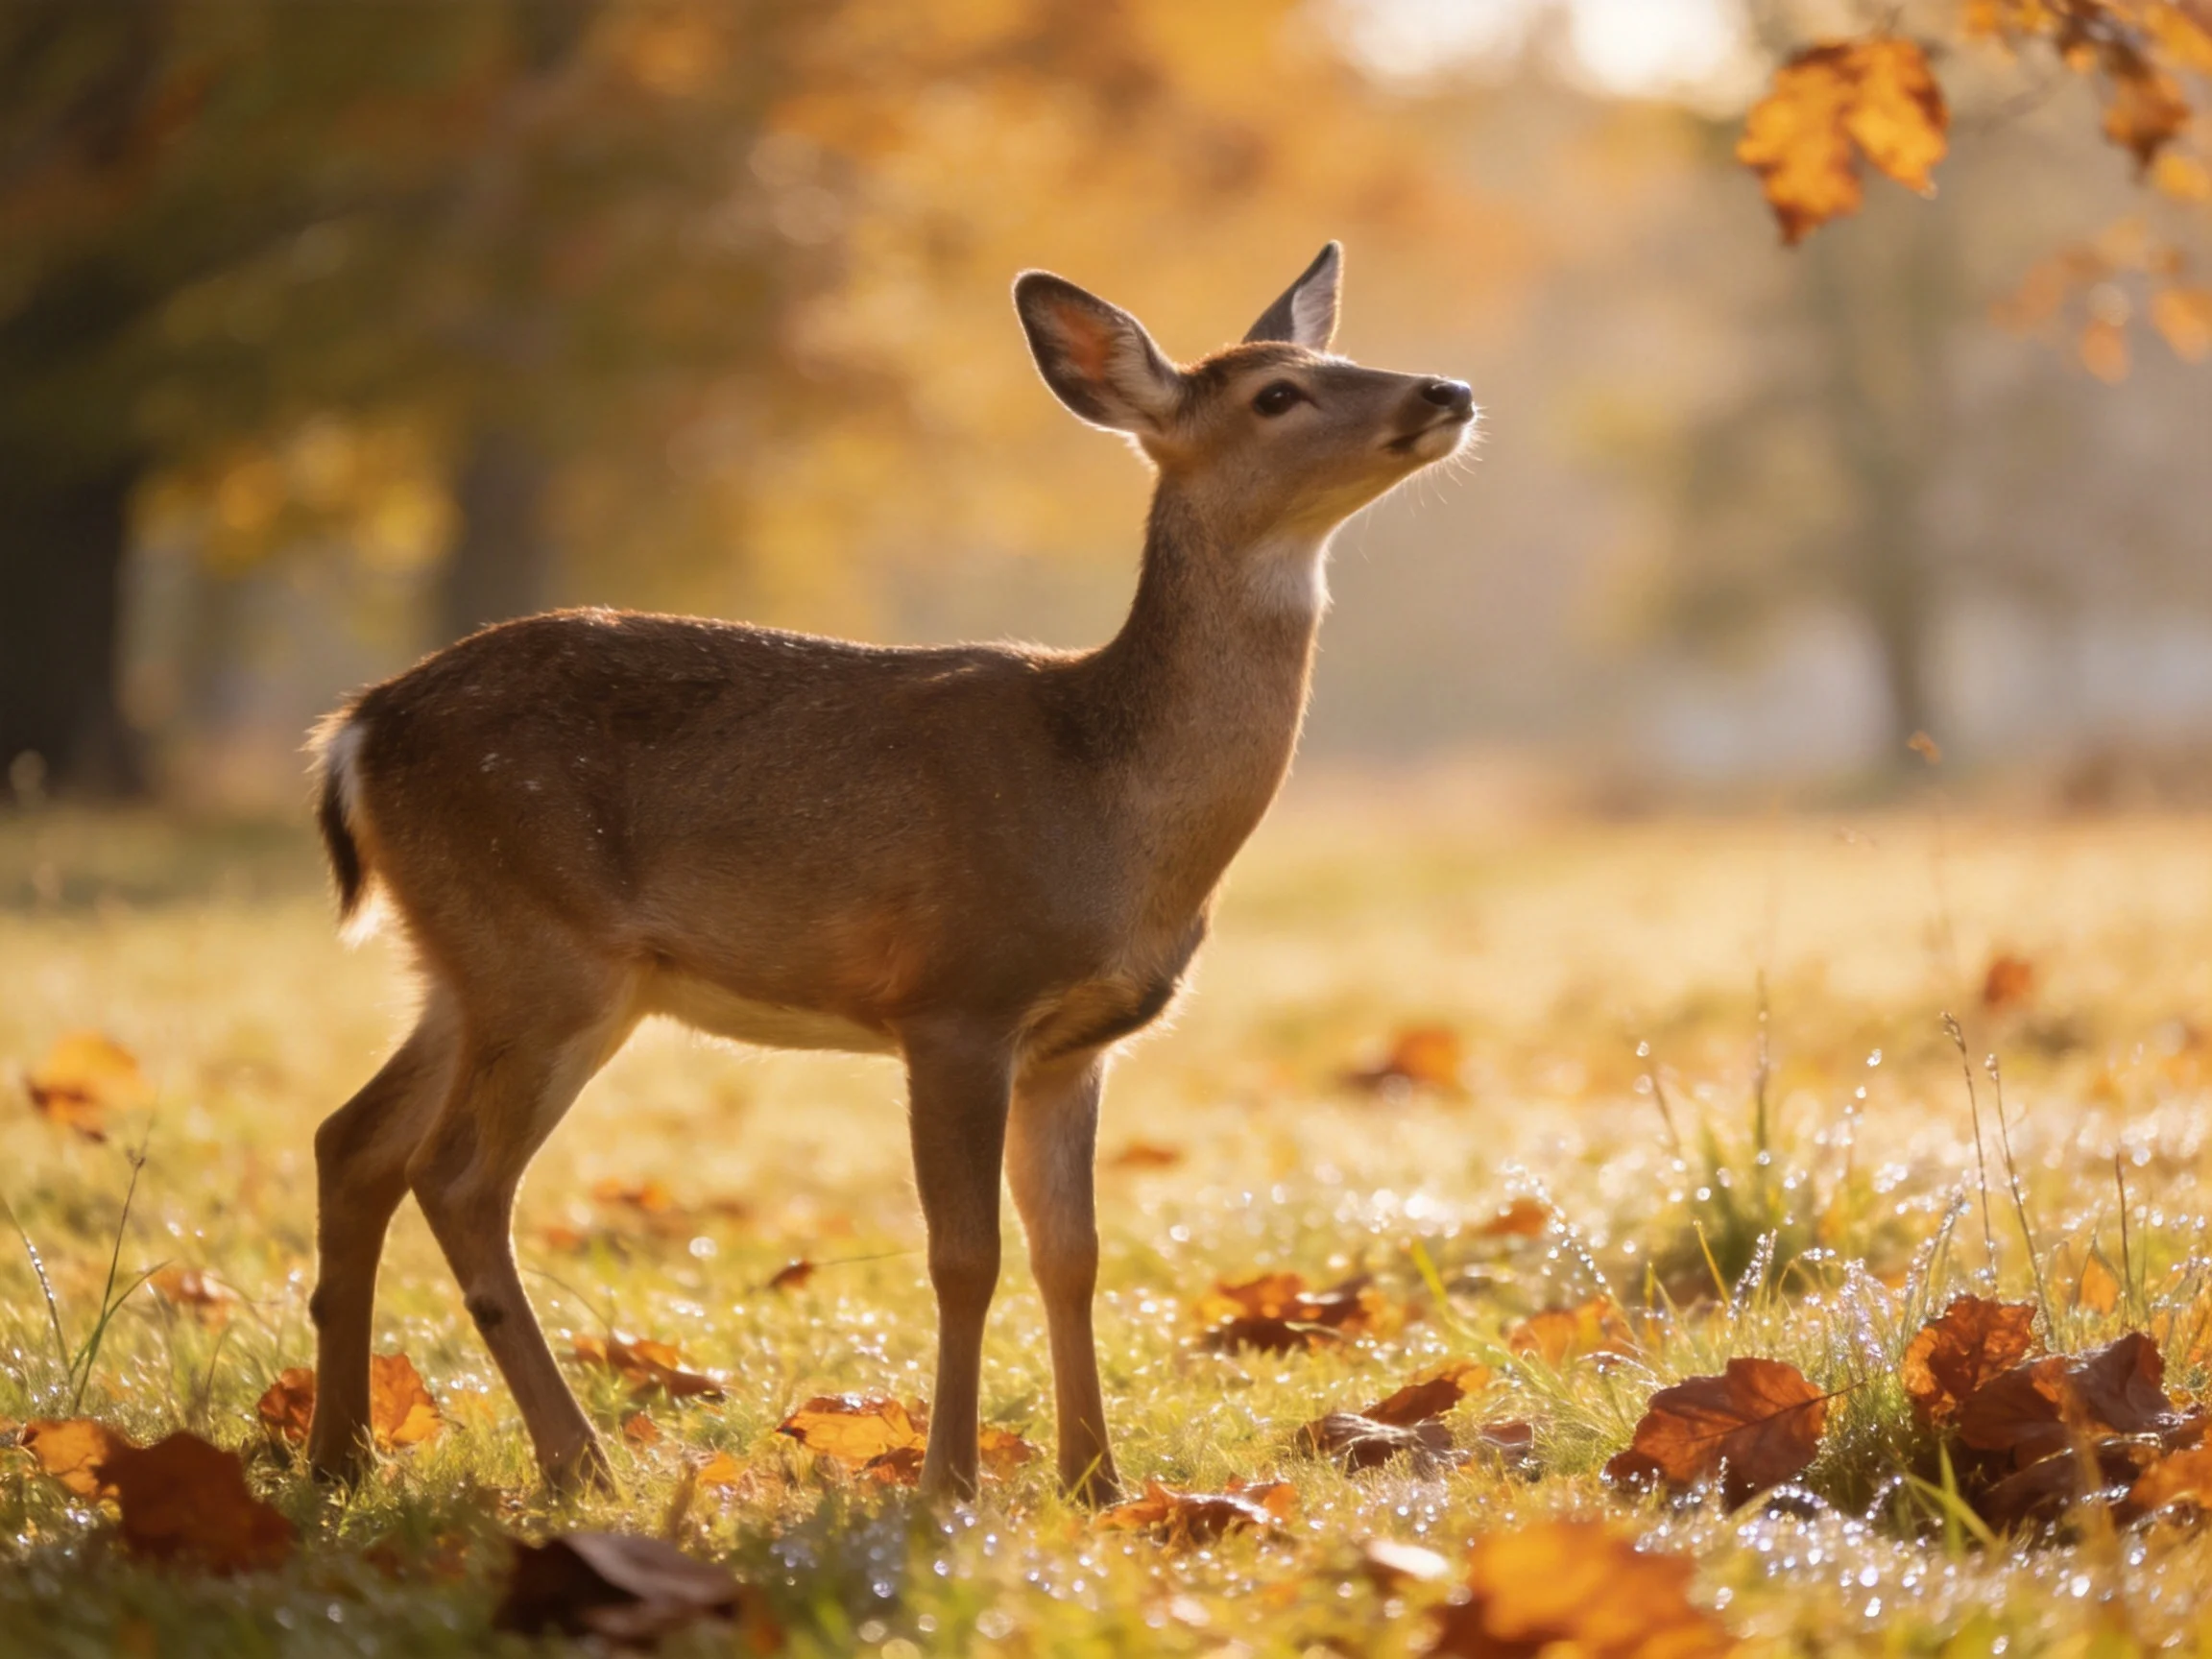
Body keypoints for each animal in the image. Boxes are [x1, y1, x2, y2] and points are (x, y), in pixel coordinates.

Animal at [303, 242, 1477, 1503]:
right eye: (1277, 395)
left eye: (1339, 359)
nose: (1446, 390)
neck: (1108, 805)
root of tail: (356, 730)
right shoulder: (956, 998)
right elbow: (966, 1255)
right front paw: (950, 1484)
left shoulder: (1077, 1046)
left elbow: (1074, 1254)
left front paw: (1098, 1486)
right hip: (548, 954)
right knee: (459, 1178)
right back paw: (580, 1464)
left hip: (461, 960)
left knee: (354, 1142)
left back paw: (340, 1453)